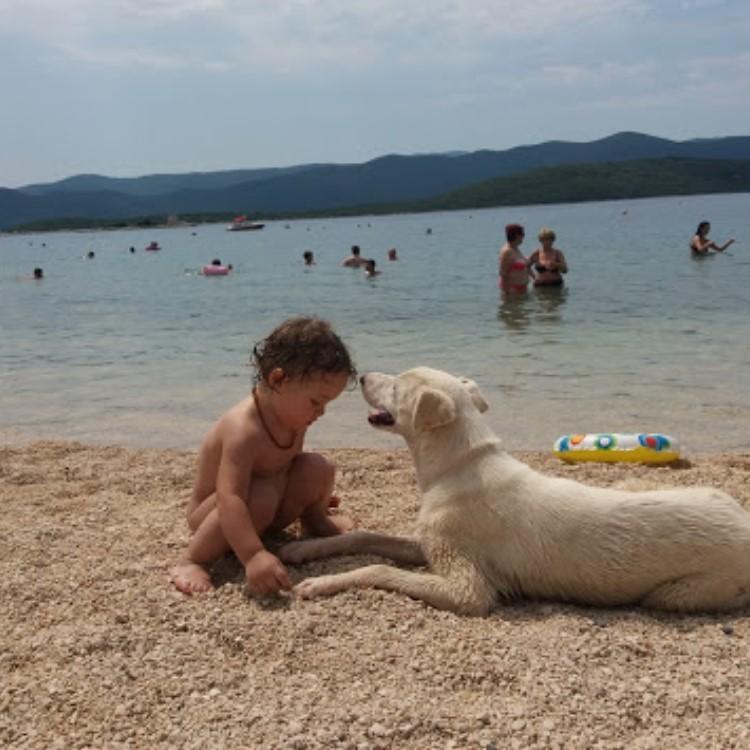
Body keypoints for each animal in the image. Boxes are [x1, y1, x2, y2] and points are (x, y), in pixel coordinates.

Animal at [280, 367, 750, 615]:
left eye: (396, 386)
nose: (360, 376)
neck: (457, 464)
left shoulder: (468, 589)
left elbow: (378, 569)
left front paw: (319, 584)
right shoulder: (428, 543)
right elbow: (364, 536)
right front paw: (301, 551)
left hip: (677, 593)